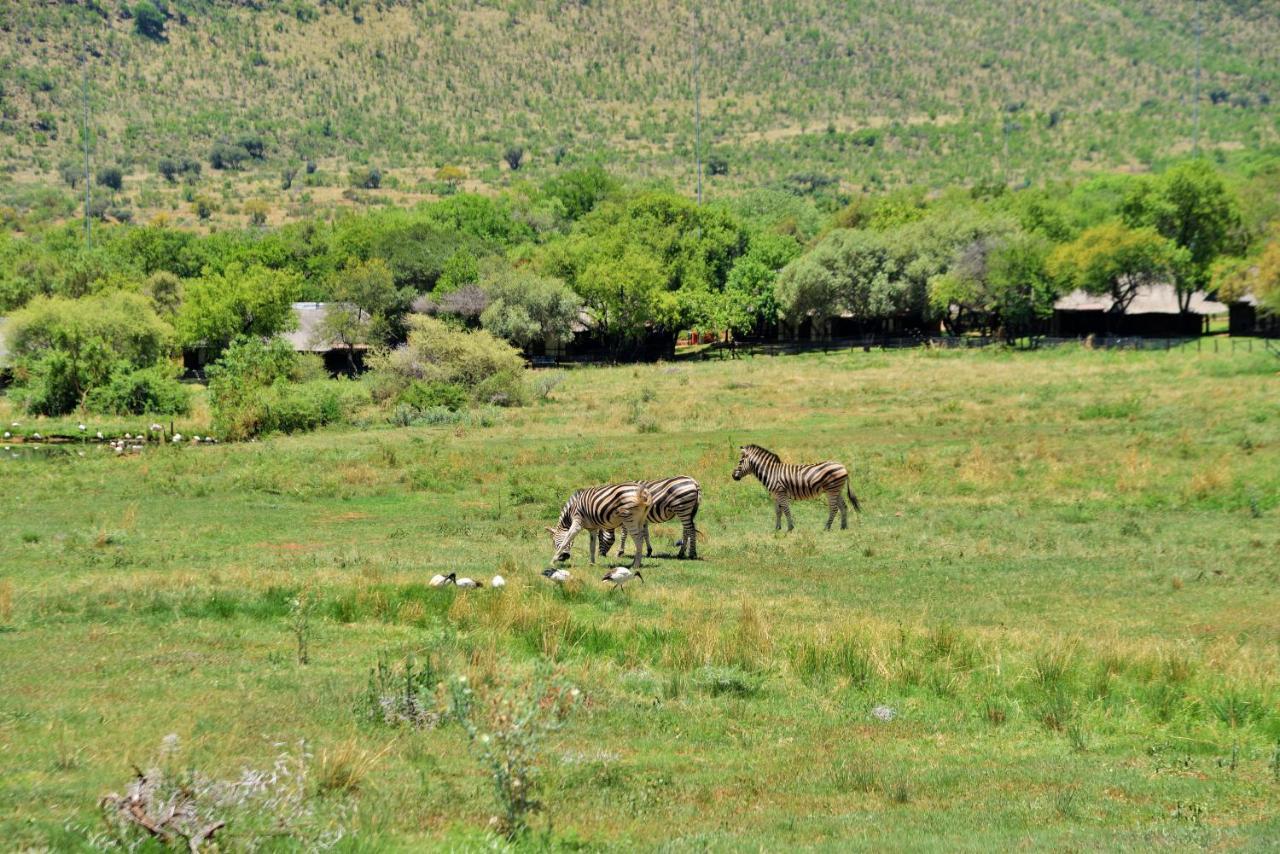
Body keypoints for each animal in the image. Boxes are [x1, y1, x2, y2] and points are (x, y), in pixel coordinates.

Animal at [732, 445, 860, 530]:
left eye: (740, 461)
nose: (733, 476)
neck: (771, 472)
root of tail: (843, 466)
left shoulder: (781, 492)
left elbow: (786, 509)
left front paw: (790, 528)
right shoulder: (775, 495)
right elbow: (778, 511)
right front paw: (777, 528)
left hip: (832, 490)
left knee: (834, 508)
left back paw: (826, 527)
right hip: (837, 490)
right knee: (843, 507)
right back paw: (843, 527)